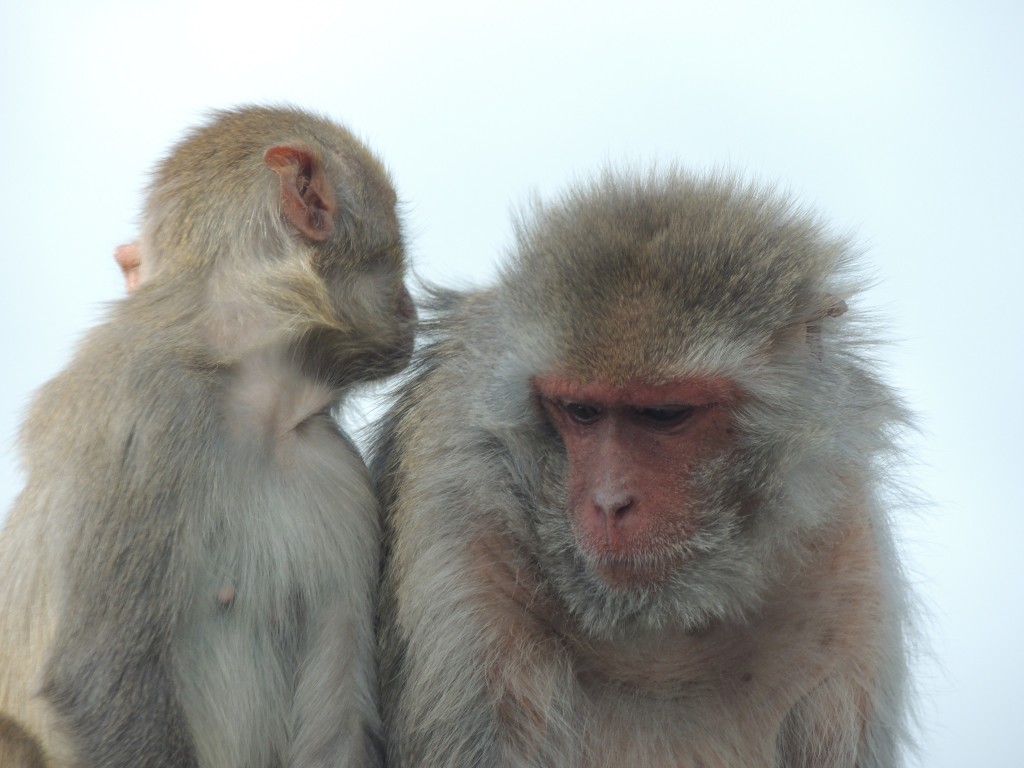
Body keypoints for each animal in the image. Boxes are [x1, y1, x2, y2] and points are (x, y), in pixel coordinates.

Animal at [1, 103, 415, 768]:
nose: (409, 305)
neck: (251, 399)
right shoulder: (143, 408)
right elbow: (99, 678)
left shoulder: (337, 474)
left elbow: (339, 725)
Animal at [372, 171, 917, 765]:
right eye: (581, 411)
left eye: (664, 415)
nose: (610, 503)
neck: (663, 620)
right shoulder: (460, 511)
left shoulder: (846, 557)